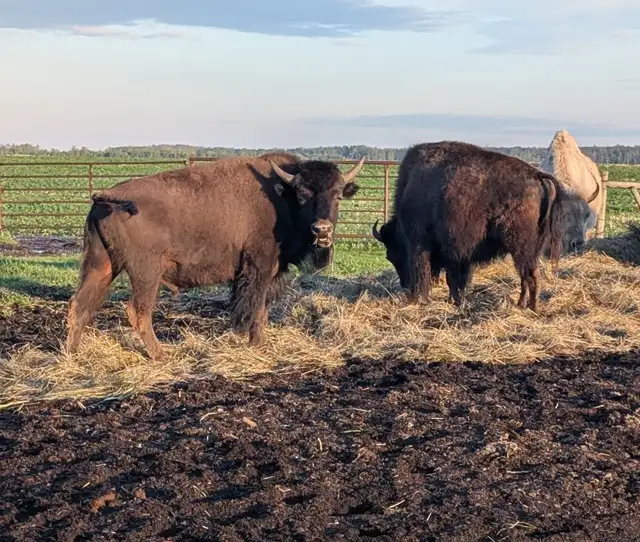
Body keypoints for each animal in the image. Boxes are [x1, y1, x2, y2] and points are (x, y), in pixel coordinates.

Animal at [66, 152, 363, 359]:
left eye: (338, 195)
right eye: (302, 194)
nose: (322, 230)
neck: (281, 196)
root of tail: (106, 196)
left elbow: (261, 310)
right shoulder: (259, 268)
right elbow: (255, 308)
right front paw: (256, 345)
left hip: (101, 265)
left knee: (80, 305)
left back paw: (74, 354)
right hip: (145, 273)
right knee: (137, 311)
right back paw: (161, 355)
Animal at [371, 141, 597, 311]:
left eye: (392, 254)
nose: (404, 285)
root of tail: (536, 176)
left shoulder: (421, 245)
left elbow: (427, 272)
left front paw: (420, 299)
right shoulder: (458, 254)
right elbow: (455, 280)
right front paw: (455, 301)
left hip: (520, 247)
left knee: (529, 276)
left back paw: (529, 307)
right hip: (531, 249)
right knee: (527, 276)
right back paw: (522, 304)